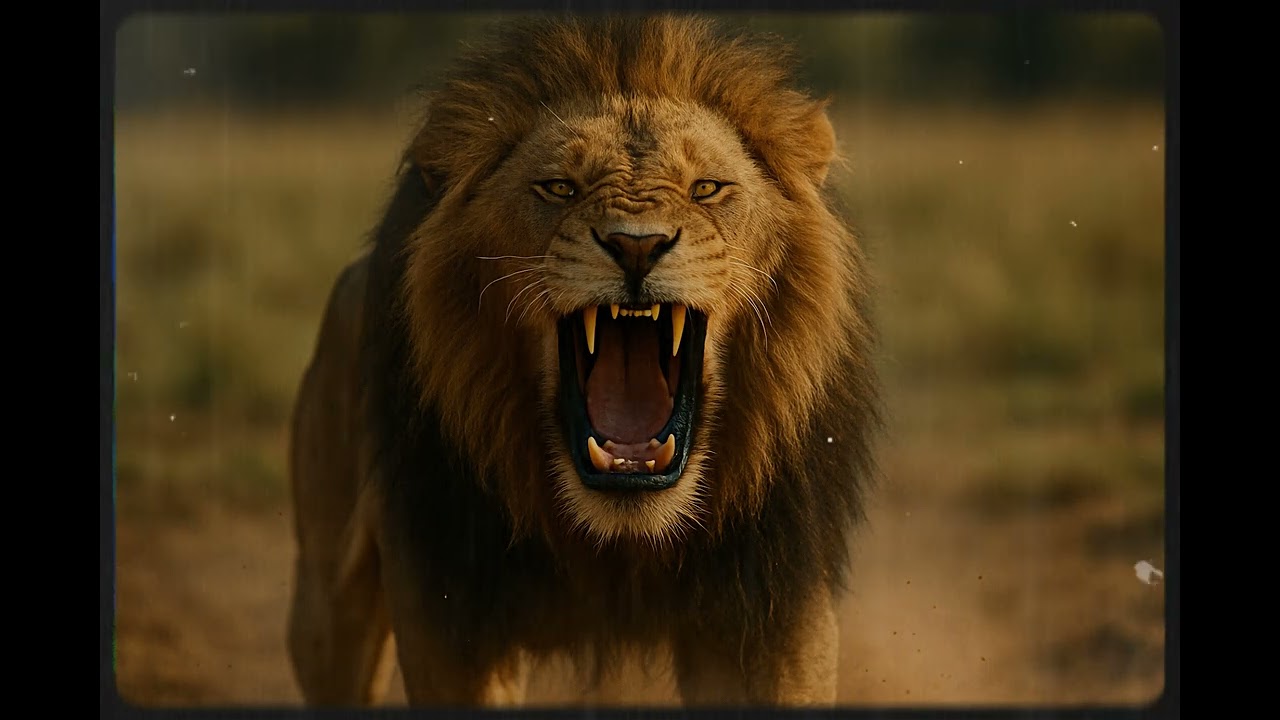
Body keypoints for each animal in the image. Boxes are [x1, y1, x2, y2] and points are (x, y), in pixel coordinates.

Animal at [286, 15, 880, 708]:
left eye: (706, 188)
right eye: (558, 188)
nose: (637, 246)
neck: (616, 539)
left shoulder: (774, 614)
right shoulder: (450, 613)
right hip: (326, 604)